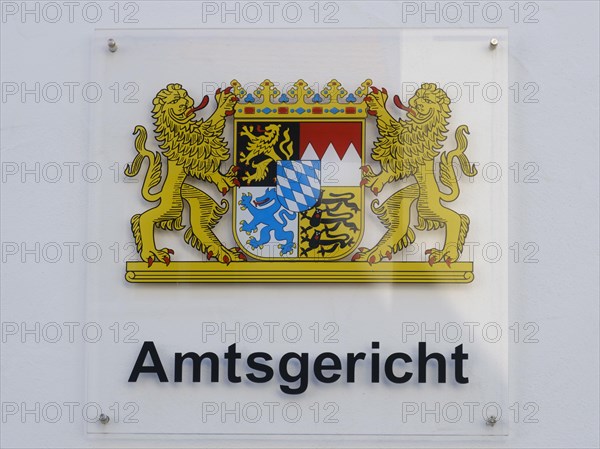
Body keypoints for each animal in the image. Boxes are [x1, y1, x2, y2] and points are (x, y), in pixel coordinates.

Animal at [124, 83, 246, 264]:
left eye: (184, 95)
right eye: (175, 100)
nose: (188, 102)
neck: (180, 124)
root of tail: (161, 194)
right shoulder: (195, 146)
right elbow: (211, 127)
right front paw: (223, 103)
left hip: (196, 201)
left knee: (200, 227)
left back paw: (227, 254)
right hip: (172, 207)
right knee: (143, 218)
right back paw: (153, 253)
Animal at [356, 83, 478, 264]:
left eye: (426, 100)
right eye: (417, 96)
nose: (413, 102)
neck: (422, 123)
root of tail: (440, 194)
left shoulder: (407, 146)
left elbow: (391, 128)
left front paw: (379, 103)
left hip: (428, 207)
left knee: (456, 218)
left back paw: (446, 254)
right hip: (407, 202)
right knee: (399, 227)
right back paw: (371, 254)